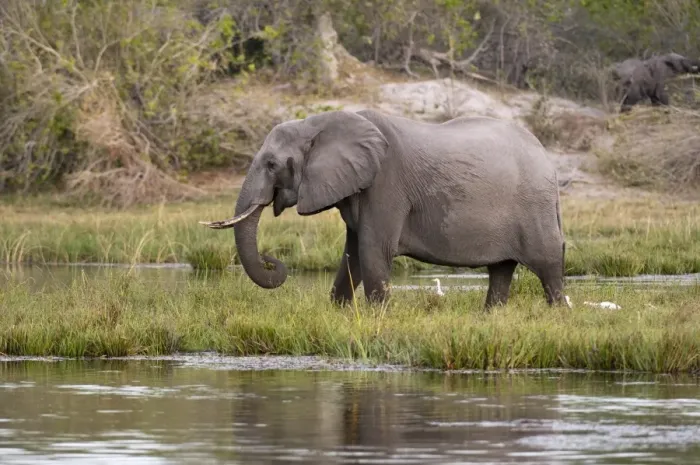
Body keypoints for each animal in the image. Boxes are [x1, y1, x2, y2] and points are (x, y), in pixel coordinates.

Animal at [200, 109, 568, 310]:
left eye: (272, 164)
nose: (271, 260)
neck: (319, 124)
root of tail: (548, 158)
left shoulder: (385, 185)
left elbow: (372, 250)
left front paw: (379, 317)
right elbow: (352, 254)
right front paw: (339, 313)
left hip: (534, 206)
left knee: (548, 265)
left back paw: (558, 315)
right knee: (501, 270)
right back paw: (490, 316)